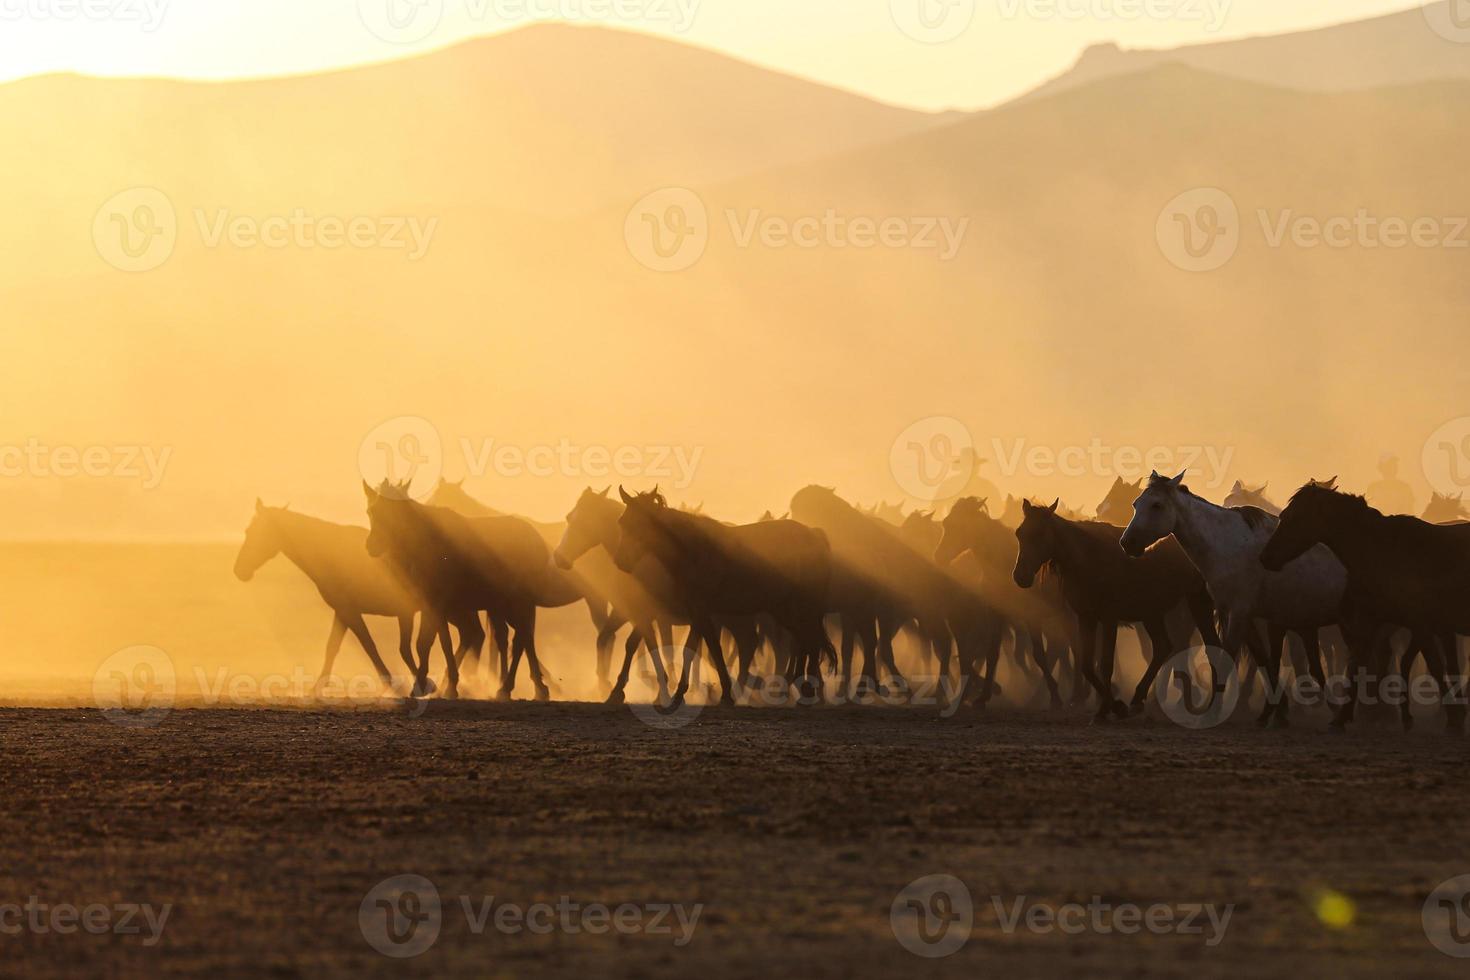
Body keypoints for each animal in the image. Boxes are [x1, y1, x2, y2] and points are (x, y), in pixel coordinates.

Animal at [1011, 499, 1217, 719]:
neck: (1087, 558)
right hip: (1152, 613)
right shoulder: (1086, 618)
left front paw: (1107, 708)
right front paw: (1114, 706)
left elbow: (1105, 664)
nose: (1020, 576)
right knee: (1164, 647)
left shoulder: (1109, 619)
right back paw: (1139, 699)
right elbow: (1086, 665)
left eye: (1040, 534)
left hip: (1195, 604)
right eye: (1019, 533)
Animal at [1117, 470, 1346, 725]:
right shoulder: (1240, 614)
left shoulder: (1240, 613)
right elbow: (1260, 658)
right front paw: (1277, 709)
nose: (1127, 543)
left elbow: (1228, 658)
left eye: (1156, 505)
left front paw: (1213, 713)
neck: (1227, 545)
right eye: (1136, 504)